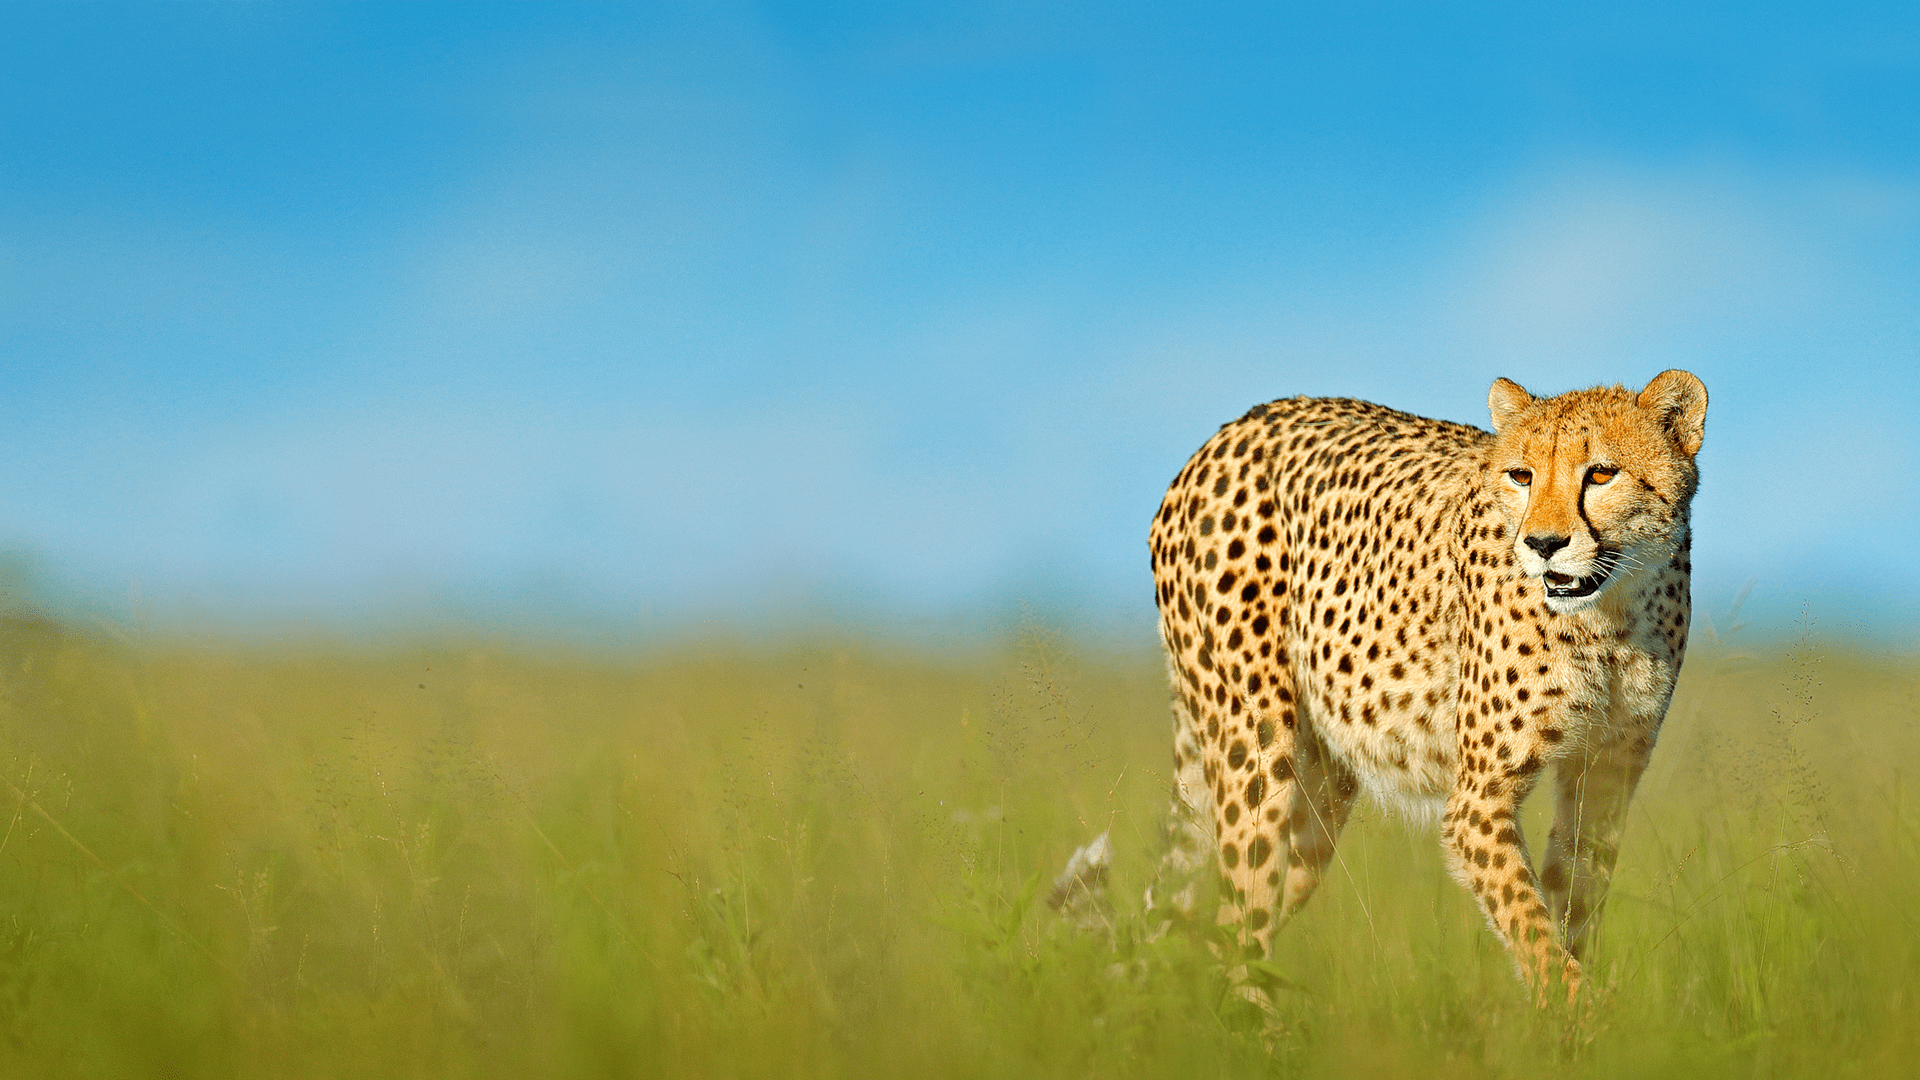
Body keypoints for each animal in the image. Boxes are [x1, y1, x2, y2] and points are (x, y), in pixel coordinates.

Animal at [1143, 370, 1707, 1000]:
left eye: (1601, 473)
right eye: (1522, 475)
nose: (1542, 544)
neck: (1611, 615)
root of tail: (1230, 431)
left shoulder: (1606, 774)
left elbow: (1572, 909)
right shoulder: (1478, 805)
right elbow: (1535, 933)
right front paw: (1579, 1011)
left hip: (1321, 794)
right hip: (1259, 751)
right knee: (1237, 929)